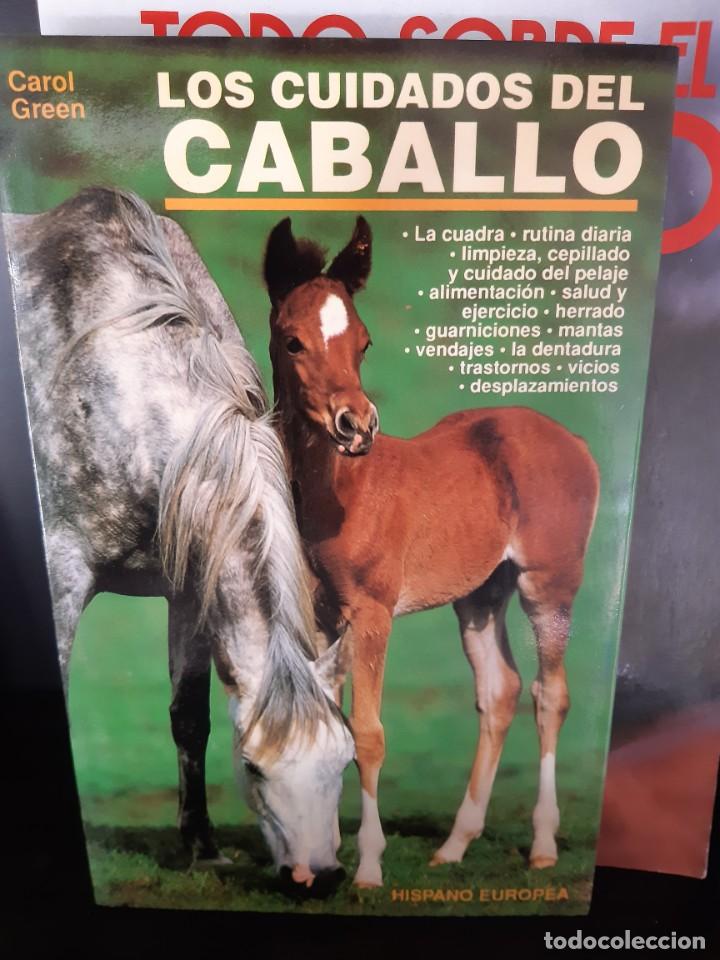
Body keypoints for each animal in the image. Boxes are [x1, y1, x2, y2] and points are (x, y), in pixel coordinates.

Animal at [4, 187, 354, 888]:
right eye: (254, 767)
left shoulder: (191, 586)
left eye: (344, 761)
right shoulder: (63, 575)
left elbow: (190, 717)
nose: (319, 876)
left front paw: (201, 844)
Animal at [263, 216, 600, 888]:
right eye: (292, 342)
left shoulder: (372, 613)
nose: (356, 425)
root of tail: (572, 440)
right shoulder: (320, 617)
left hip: (548, 584)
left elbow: (367, 733)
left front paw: (368, 867)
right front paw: (318, 856)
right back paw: (454, 845)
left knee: (549, 694)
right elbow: (326, 721)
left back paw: (543, 846)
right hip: (480, 594)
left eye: (363, 343)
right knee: (499, 692)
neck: (338, 489)